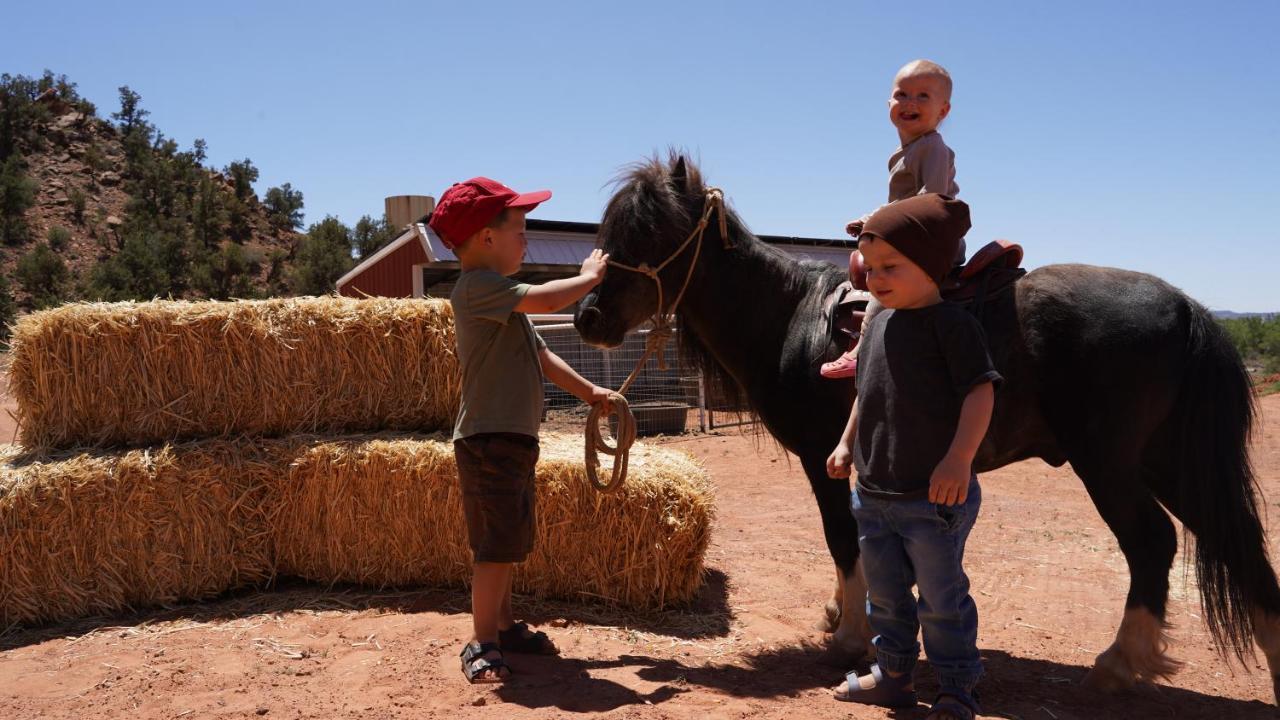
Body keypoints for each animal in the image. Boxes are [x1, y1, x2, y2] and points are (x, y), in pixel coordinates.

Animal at [578, 154, 1280, 696]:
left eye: (651, 232)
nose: (588, 317)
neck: (791, 319)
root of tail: (1186, 305)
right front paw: (848, 617)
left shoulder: (823, 457)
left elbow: (842, 540)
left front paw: (852, 637)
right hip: (1166, 460)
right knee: (1238, 545)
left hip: (1108, 463)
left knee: (1152, 543)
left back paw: (1117, 665)